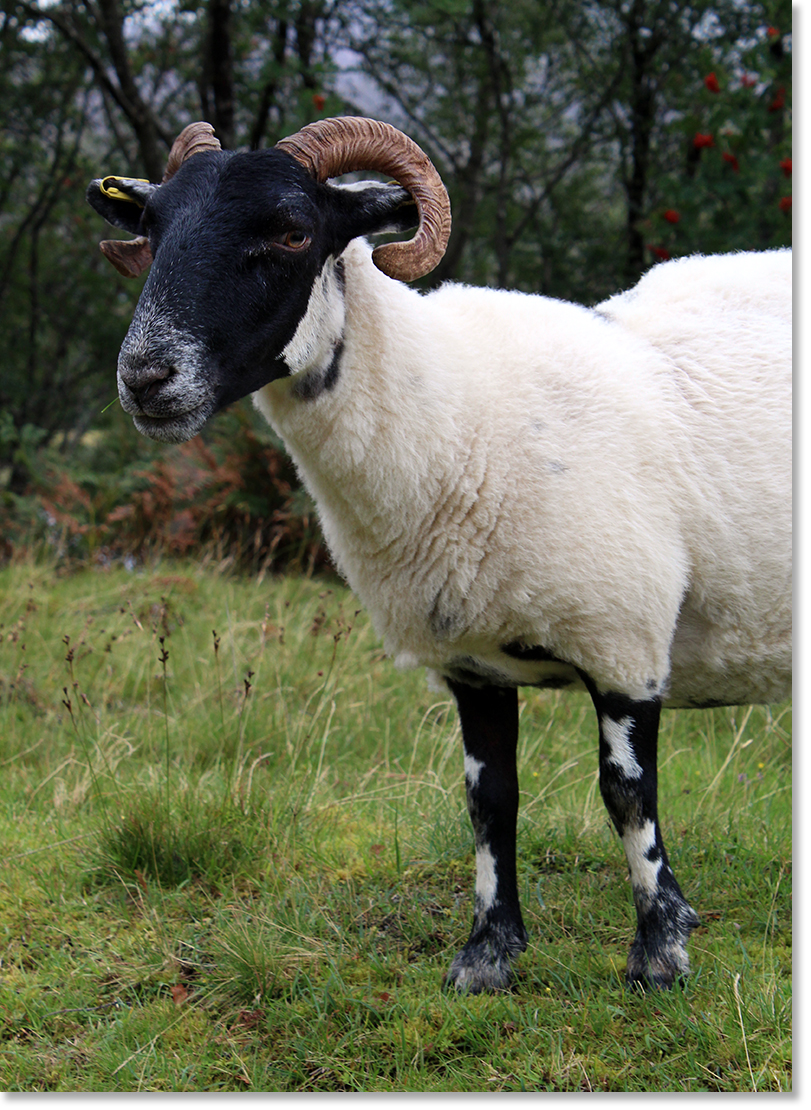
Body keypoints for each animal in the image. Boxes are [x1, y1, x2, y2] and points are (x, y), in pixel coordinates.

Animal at [85, 117, 789, 994]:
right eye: (151, 230)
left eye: (292, 231)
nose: (146, 378)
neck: (457, 414)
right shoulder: (473, 665)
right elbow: (490, 802)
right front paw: (486, 955)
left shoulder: (623, 641)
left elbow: (627, 794)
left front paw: (659, 953)